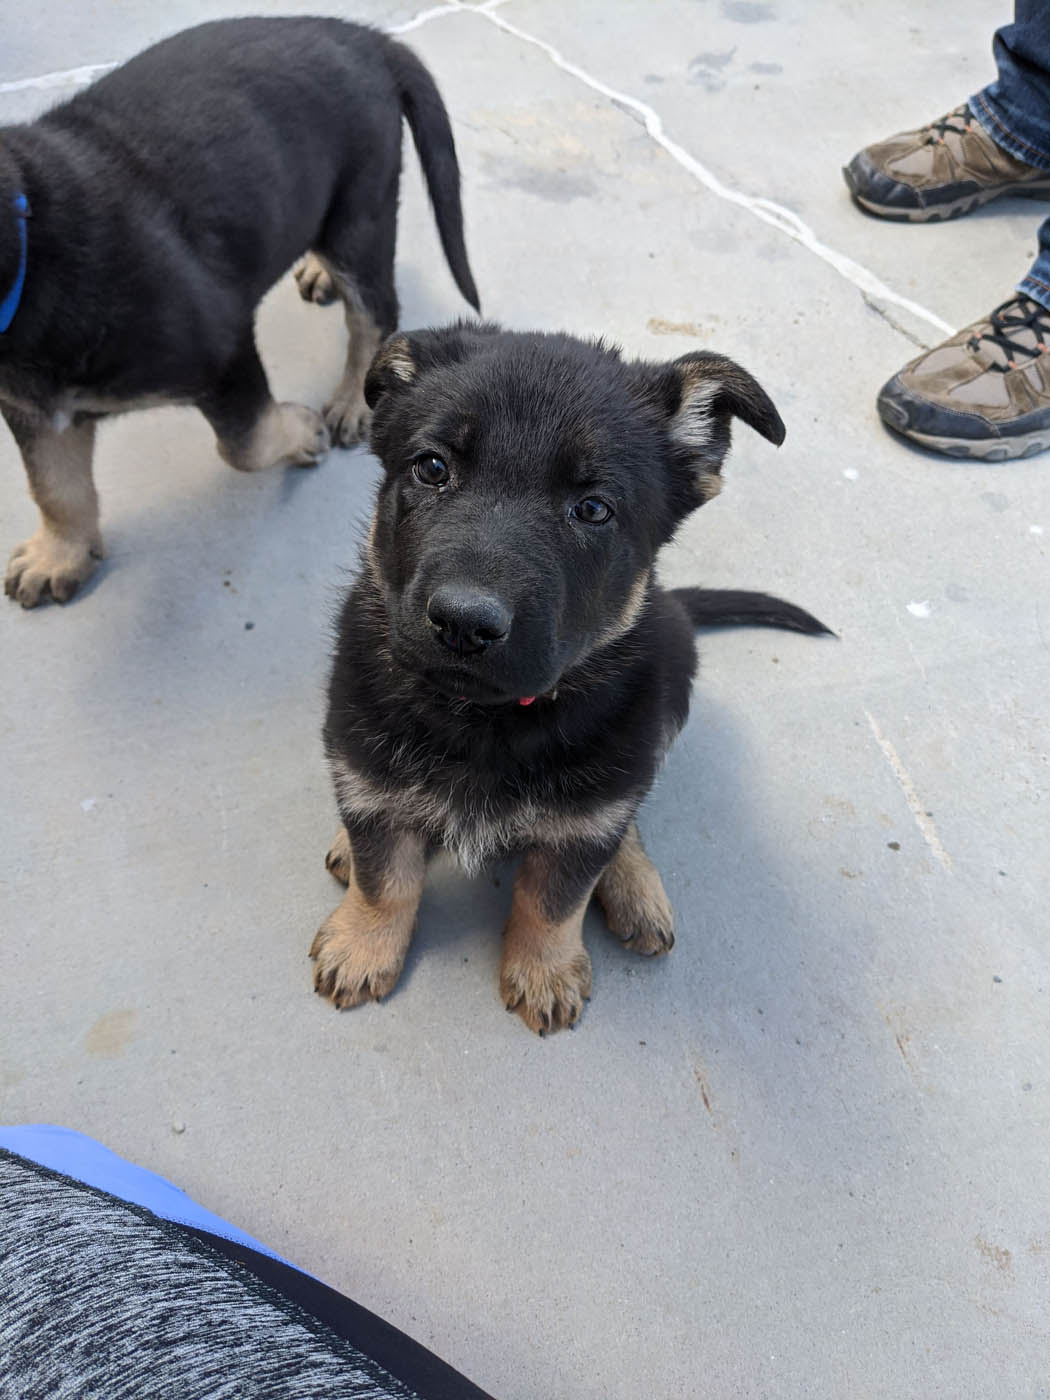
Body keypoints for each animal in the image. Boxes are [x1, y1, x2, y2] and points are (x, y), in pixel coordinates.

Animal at [2, 16, 478, 607]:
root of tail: (361, 34)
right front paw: (59, 554)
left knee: (374, 314)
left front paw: (301, 432)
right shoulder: (31, 408)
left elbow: (245, 441)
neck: (33, 250)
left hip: (360, 211)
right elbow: (54, 484)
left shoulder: (225, 350)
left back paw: (352, 402)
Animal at [312, 322, 828, 1036]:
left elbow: (555, 895)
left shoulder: (593, 804)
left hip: (667, 687)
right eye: (433, 468)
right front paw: (363, 944)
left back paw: (634, 884)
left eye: (592, 509)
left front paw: (544, 968)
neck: (487, 719)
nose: (464, 624)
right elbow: (384, 875)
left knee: (625, 813)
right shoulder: (363, 758)